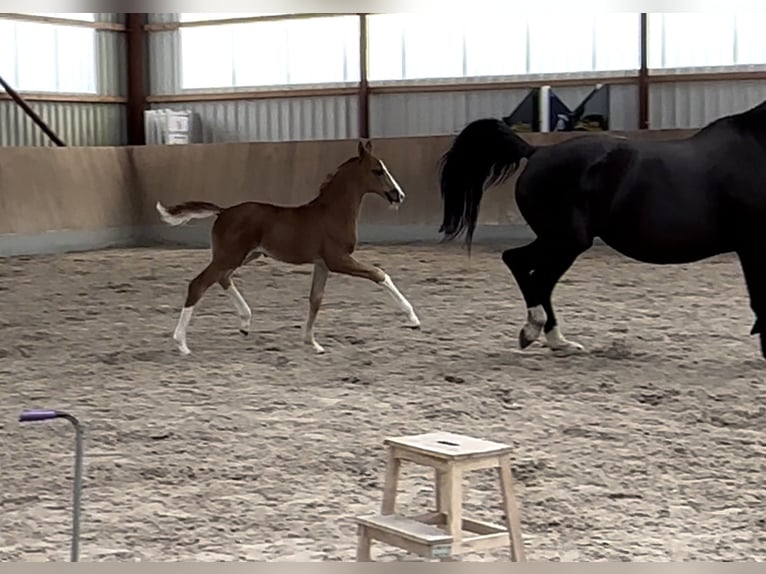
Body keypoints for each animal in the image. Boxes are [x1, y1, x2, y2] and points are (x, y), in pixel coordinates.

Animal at [155, 140, 421, 356]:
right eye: (377, 170)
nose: (399, 195)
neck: (331, 213)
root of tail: (223, 211)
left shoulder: (322, 264)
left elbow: (315, 300)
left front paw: (312, 343)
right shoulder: (338, 259)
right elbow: (379, 273)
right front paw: (413, 318)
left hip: (244, 256)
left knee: (221, 278)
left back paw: (245, 323)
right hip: (230, 256)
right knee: (199, 284)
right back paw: (182, 343)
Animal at [438, 99, 766, 360]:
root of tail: (536, 152)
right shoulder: (751, 245)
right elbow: (758, 299)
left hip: (560, 240)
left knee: (533, 274)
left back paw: (558, 342)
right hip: (567, 240)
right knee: (526, 269)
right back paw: (536, 331)